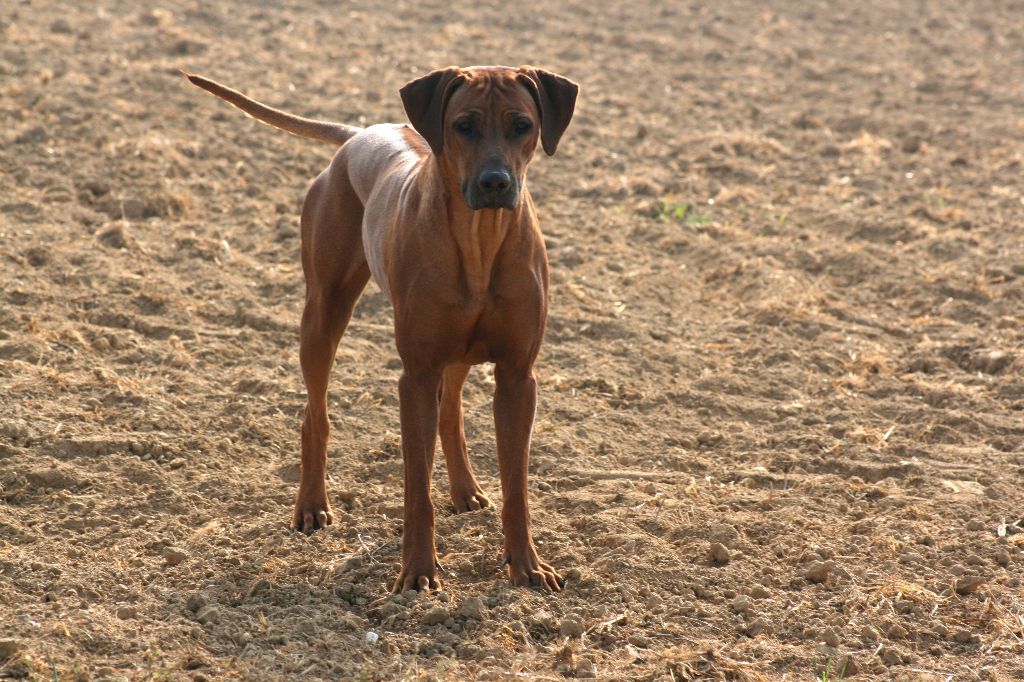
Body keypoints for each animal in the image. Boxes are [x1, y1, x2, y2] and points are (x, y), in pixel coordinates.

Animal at [186, 66, 577, 593]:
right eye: (463, 126)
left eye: (522, 126)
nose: (495, 182)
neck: (480, 239)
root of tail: (358, 134)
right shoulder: (415, 376)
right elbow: (417, 490)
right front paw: (417, 571)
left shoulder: (517, 376)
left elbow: (516, 486)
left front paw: (528, 566)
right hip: (324, 312)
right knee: (315, 414)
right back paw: (312, 506)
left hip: (457, 350)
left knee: (450, 412)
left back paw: (465, 490)